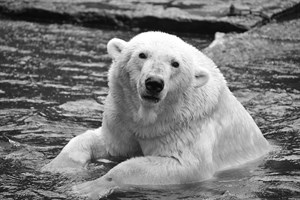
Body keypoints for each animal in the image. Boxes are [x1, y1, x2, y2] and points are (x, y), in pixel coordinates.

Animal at [43, 32, 270, 199]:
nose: (154, 83)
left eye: (175, 63)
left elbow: (183, 165)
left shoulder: (185, 125)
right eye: (142, 54)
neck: (152, 117)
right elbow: (105, 143)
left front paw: (88, 187)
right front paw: (55, 167)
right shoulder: (122, 118)